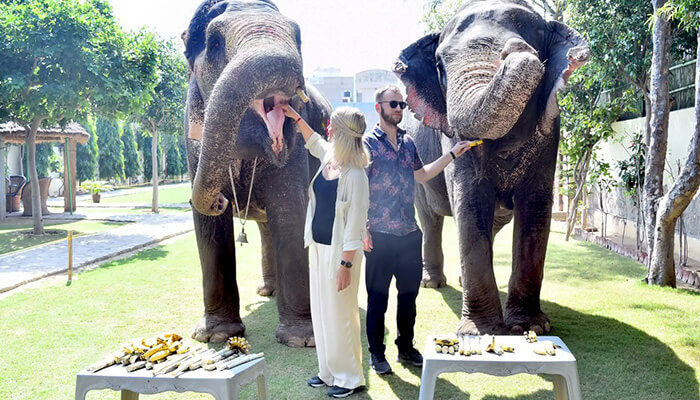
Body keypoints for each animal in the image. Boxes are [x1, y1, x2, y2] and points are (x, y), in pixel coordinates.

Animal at [183, 0, 330, 346]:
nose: (222, 200)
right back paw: (267, 291)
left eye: (298, 37)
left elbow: (290, 211)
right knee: (265, 227)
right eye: (214, 42)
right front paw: (215, 335)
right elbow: (208, 226)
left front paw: (302, 340)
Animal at [394, 0, 592, 336]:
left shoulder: (550, 129)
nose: (515, 47)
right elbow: (471, 204)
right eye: (440, 66)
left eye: (534, 45)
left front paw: (530, 327)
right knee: (430, 217)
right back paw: (432, 283)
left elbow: (536, 208)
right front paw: (481, 332)